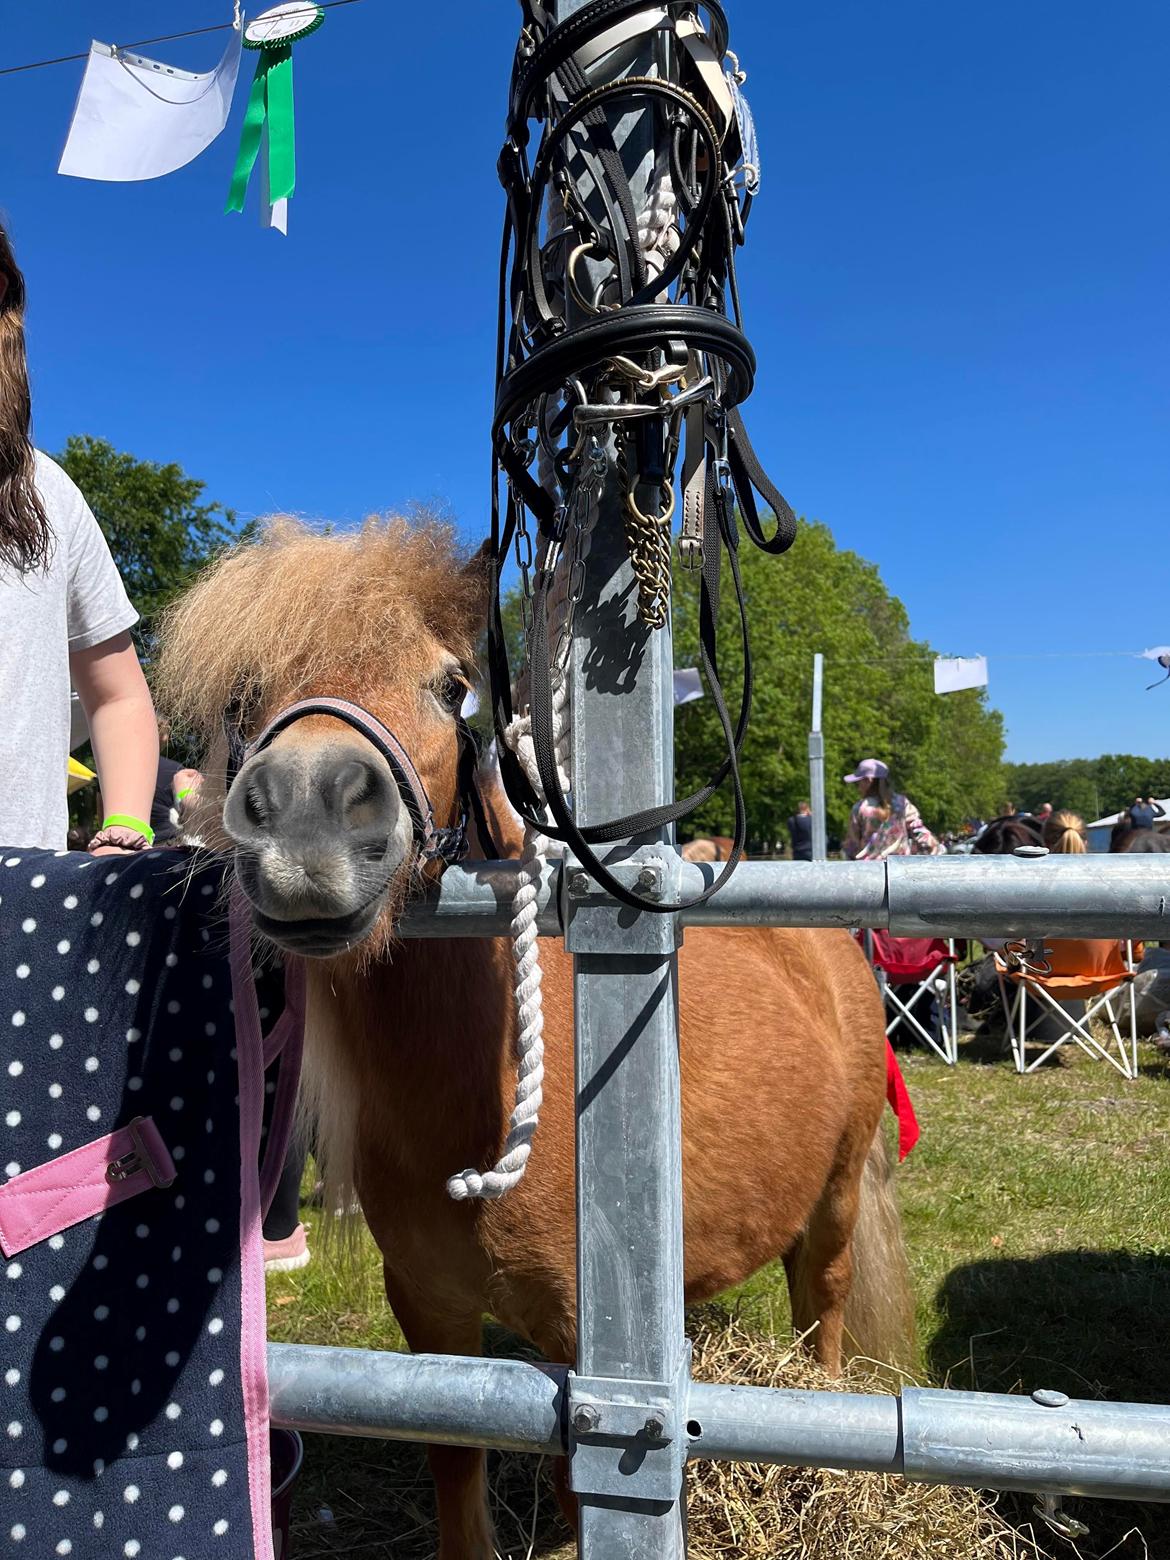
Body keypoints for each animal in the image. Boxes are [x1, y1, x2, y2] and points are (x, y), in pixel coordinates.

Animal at [158, 517, 917, 1560]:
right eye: (241, 699)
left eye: (451, 686)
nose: (308, 826)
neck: (480, 1109)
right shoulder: (431, 1320)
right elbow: (456, 1474)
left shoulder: (581, 1349)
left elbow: (573, 1490)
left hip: (837, 1199)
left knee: (823, 1314)